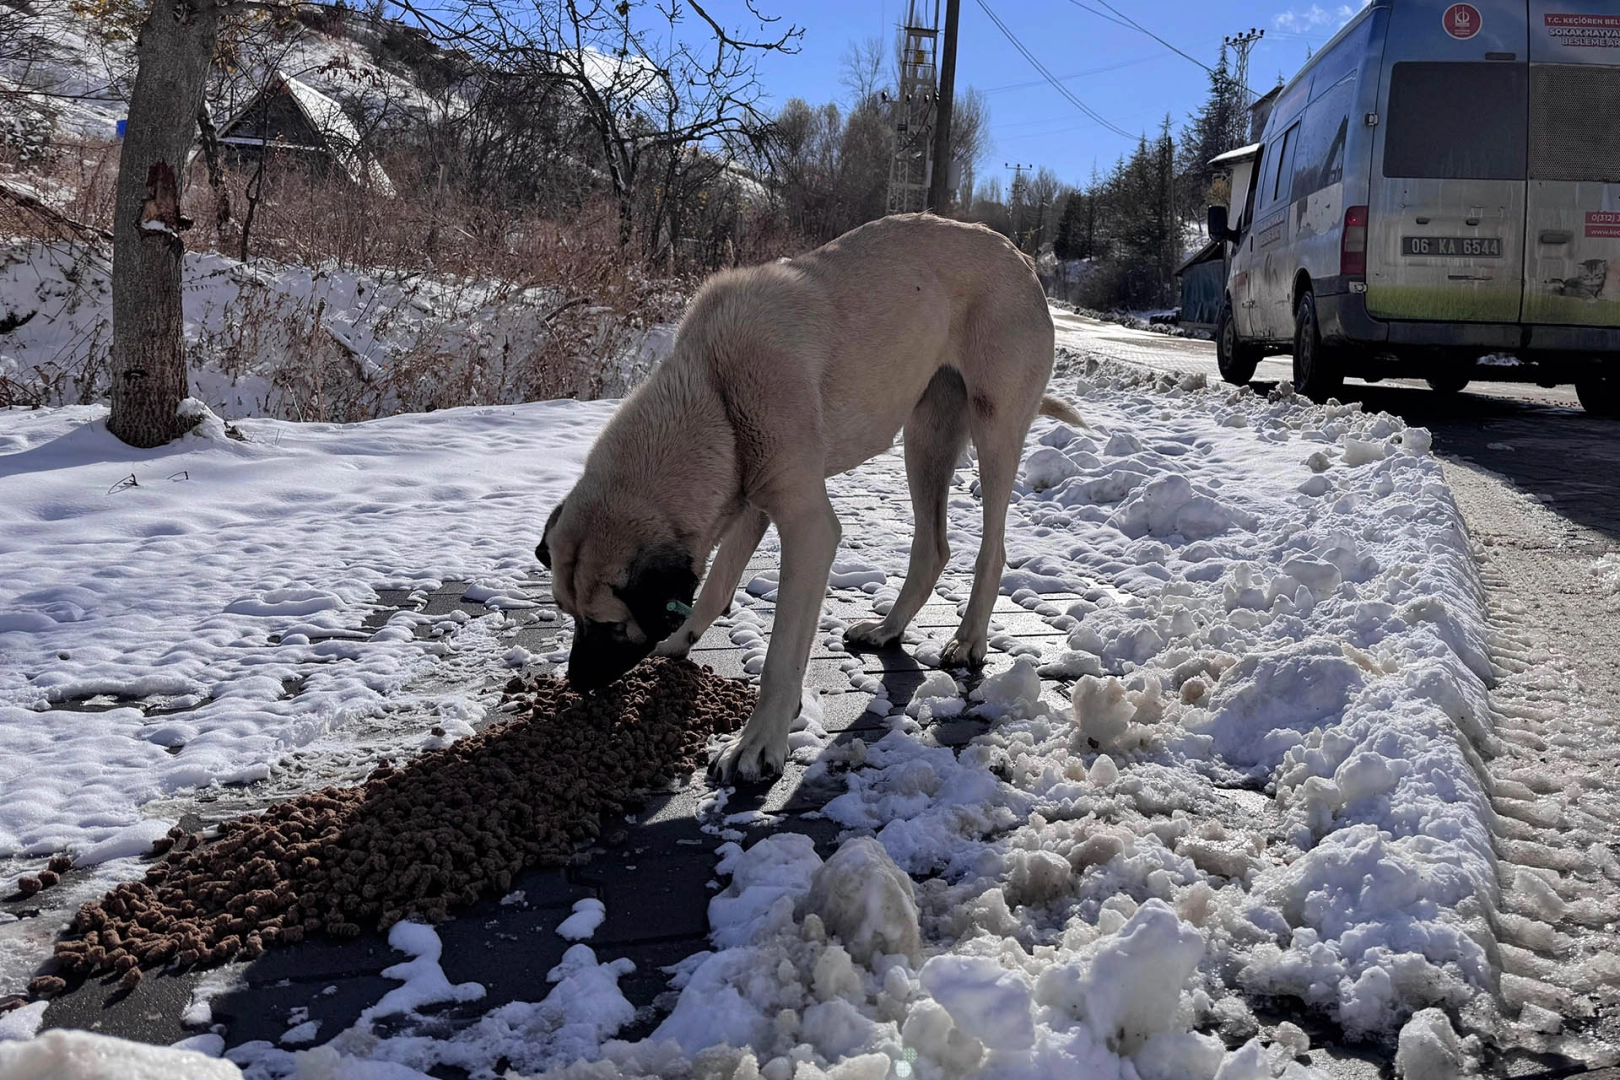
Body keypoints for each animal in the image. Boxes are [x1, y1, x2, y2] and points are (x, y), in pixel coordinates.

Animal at [537, 213, 1082, 786]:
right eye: (567, 613)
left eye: (609, 625)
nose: (575, 682)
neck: (714, 389)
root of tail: (1021, 257)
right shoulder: (749, 499)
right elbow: (715, 583)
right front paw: (681, 637)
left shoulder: (808, 527)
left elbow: (782, 654)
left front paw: (757, 744)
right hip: (925, 436)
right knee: (932, 547)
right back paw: (887, 629)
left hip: (993, 426)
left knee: (992, 548)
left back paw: (969, 638)